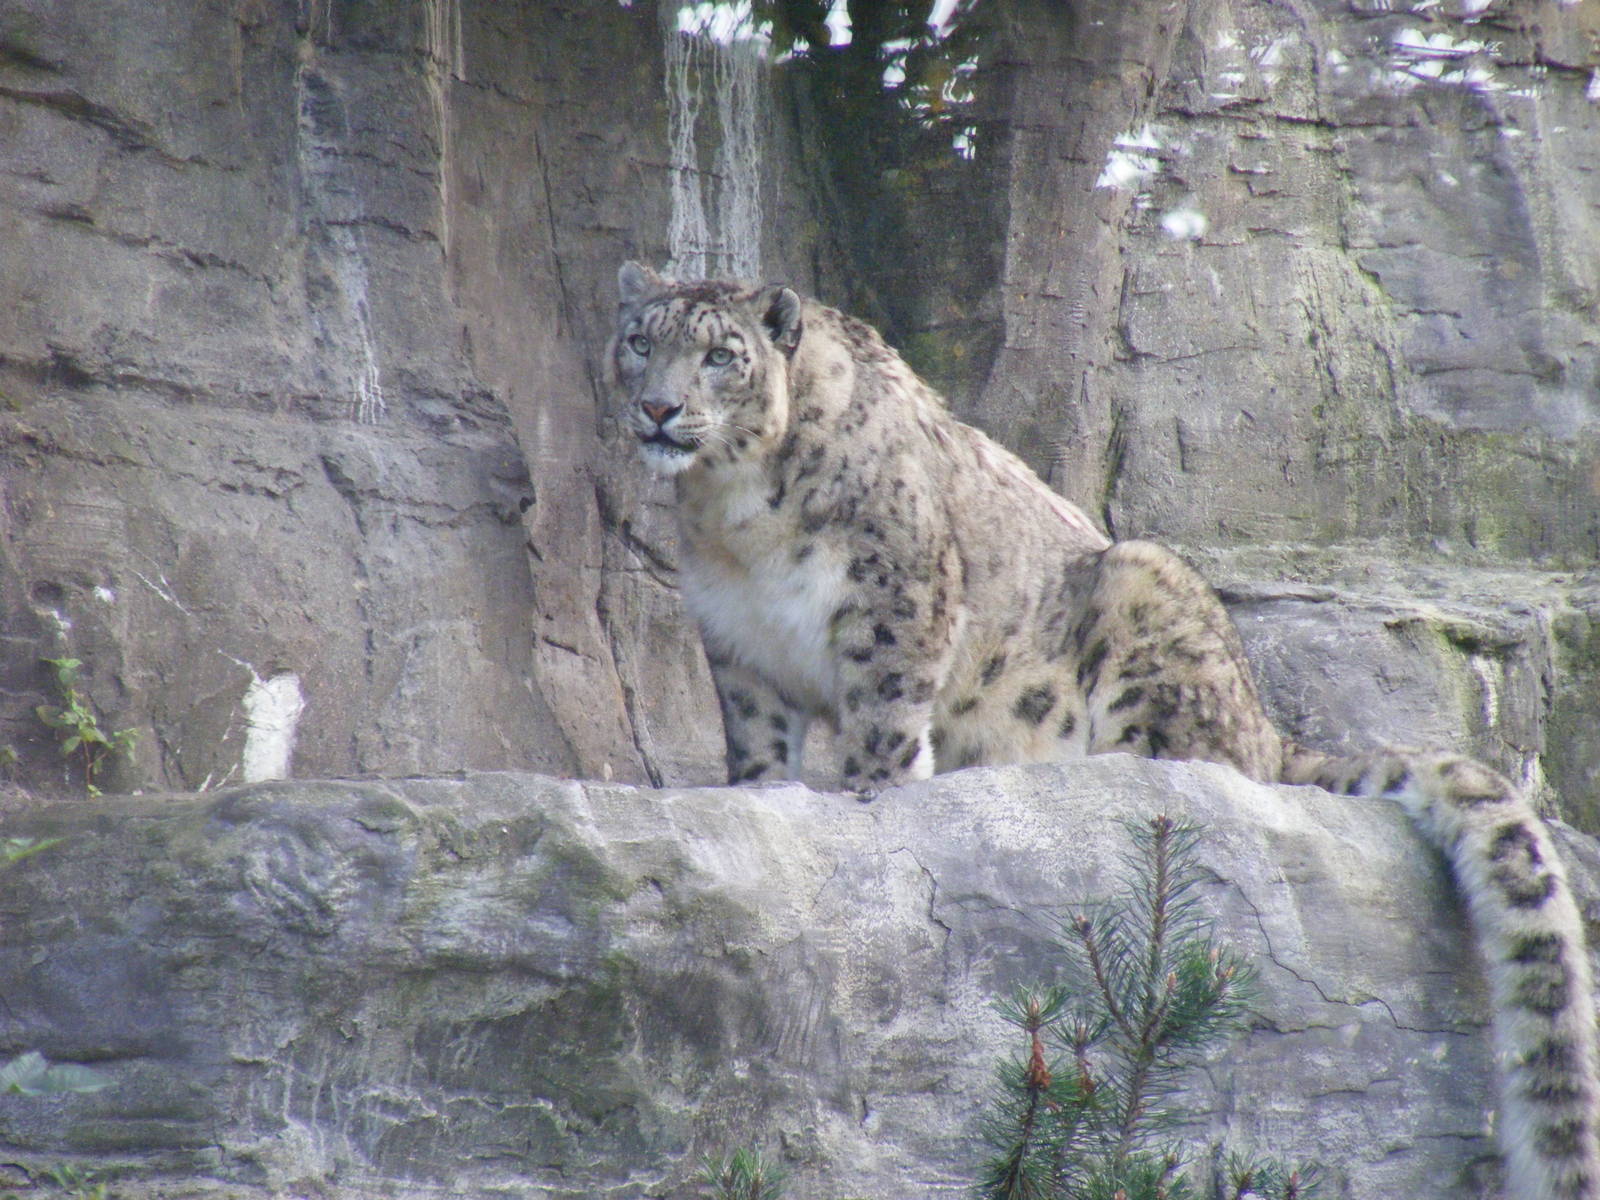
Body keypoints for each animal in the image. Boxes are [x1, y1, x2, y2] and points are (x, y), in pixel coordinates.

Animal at [608, 260, 1598, 1200]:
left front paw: (865, 796)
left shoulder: (897, 595)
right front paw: (762, 798)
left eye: (719, 354)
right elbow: (758, 747)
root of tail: (1268, 729)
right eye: (638, 340)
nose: (656, 407)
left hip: (1144, 606)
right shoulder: (738, 647)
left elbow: (883, 715)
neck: (735, 513)